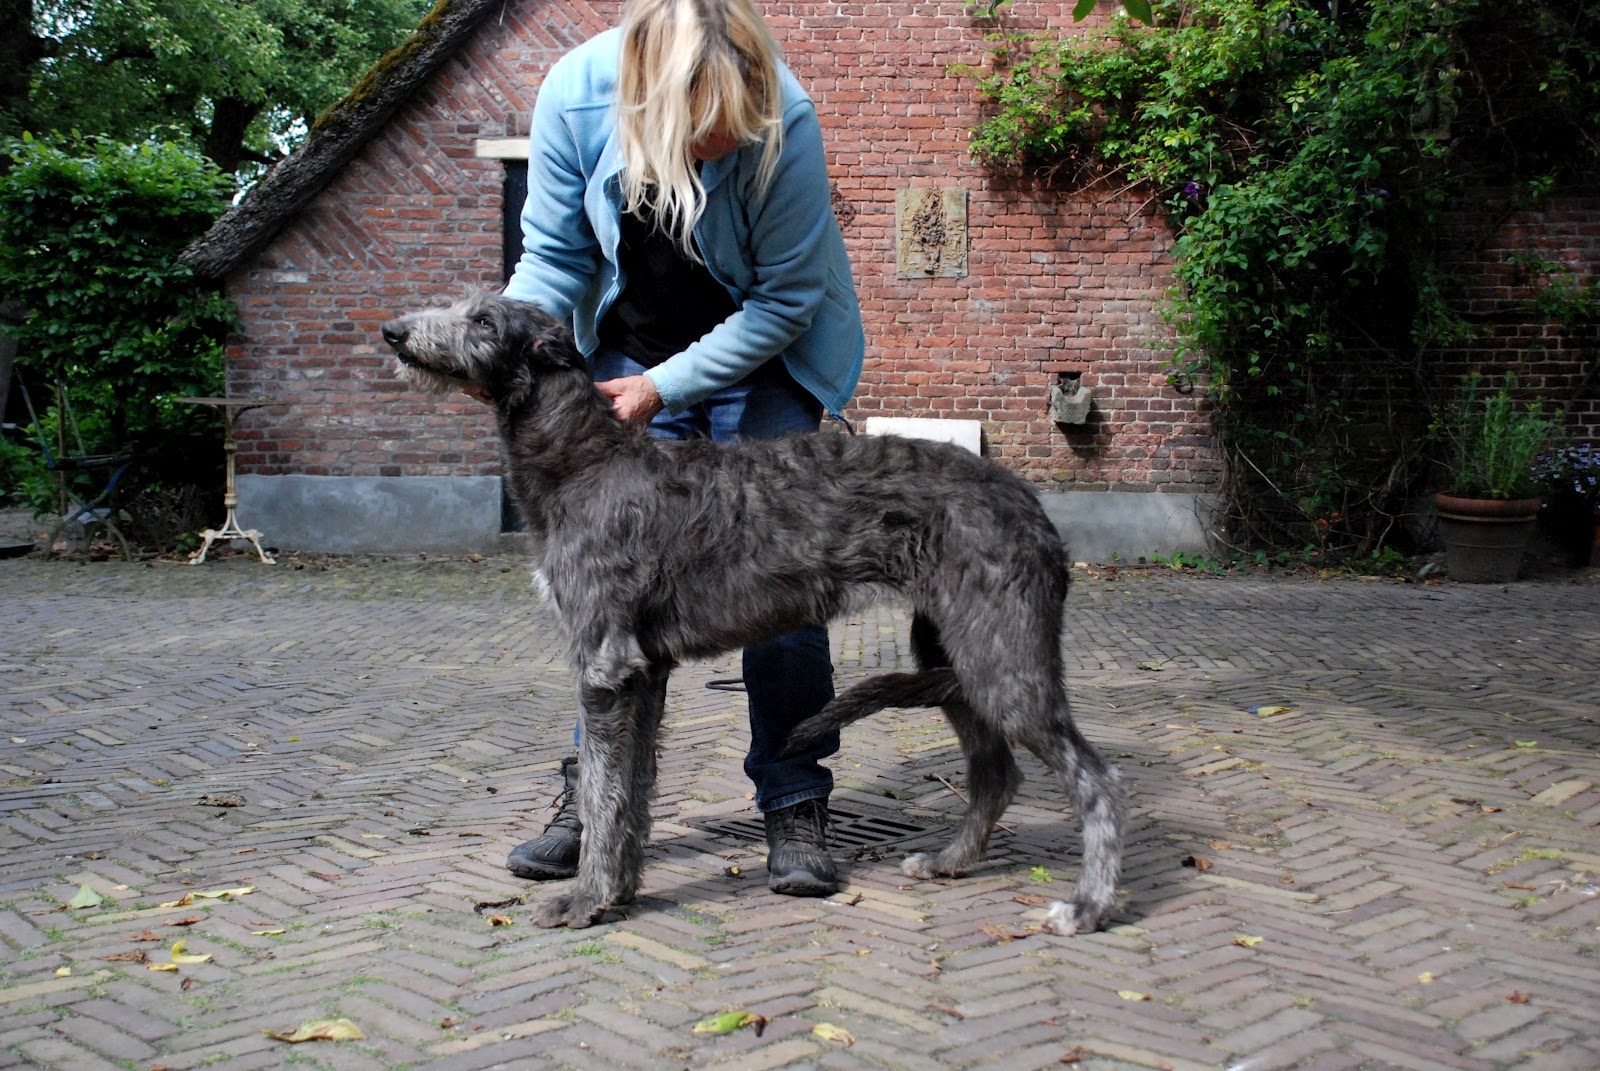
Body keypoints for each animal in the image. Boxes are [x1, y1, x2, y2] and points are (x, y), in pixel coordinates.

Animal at [377, 294, 1126, 934]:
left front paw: (587, 898)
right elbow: (630, 791)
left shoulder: (605, 666)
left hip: (1002, 656)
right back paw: (950, 860)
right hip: (953, 653)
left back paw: (1087, 905)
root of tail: (1033, 509)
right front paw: (619, 887)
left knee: (1095, 778)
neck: (586, 462)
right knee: (996, 773)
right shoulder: (644, 673)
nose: (394, 332)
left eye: (482, 319)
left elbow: (601, 789)